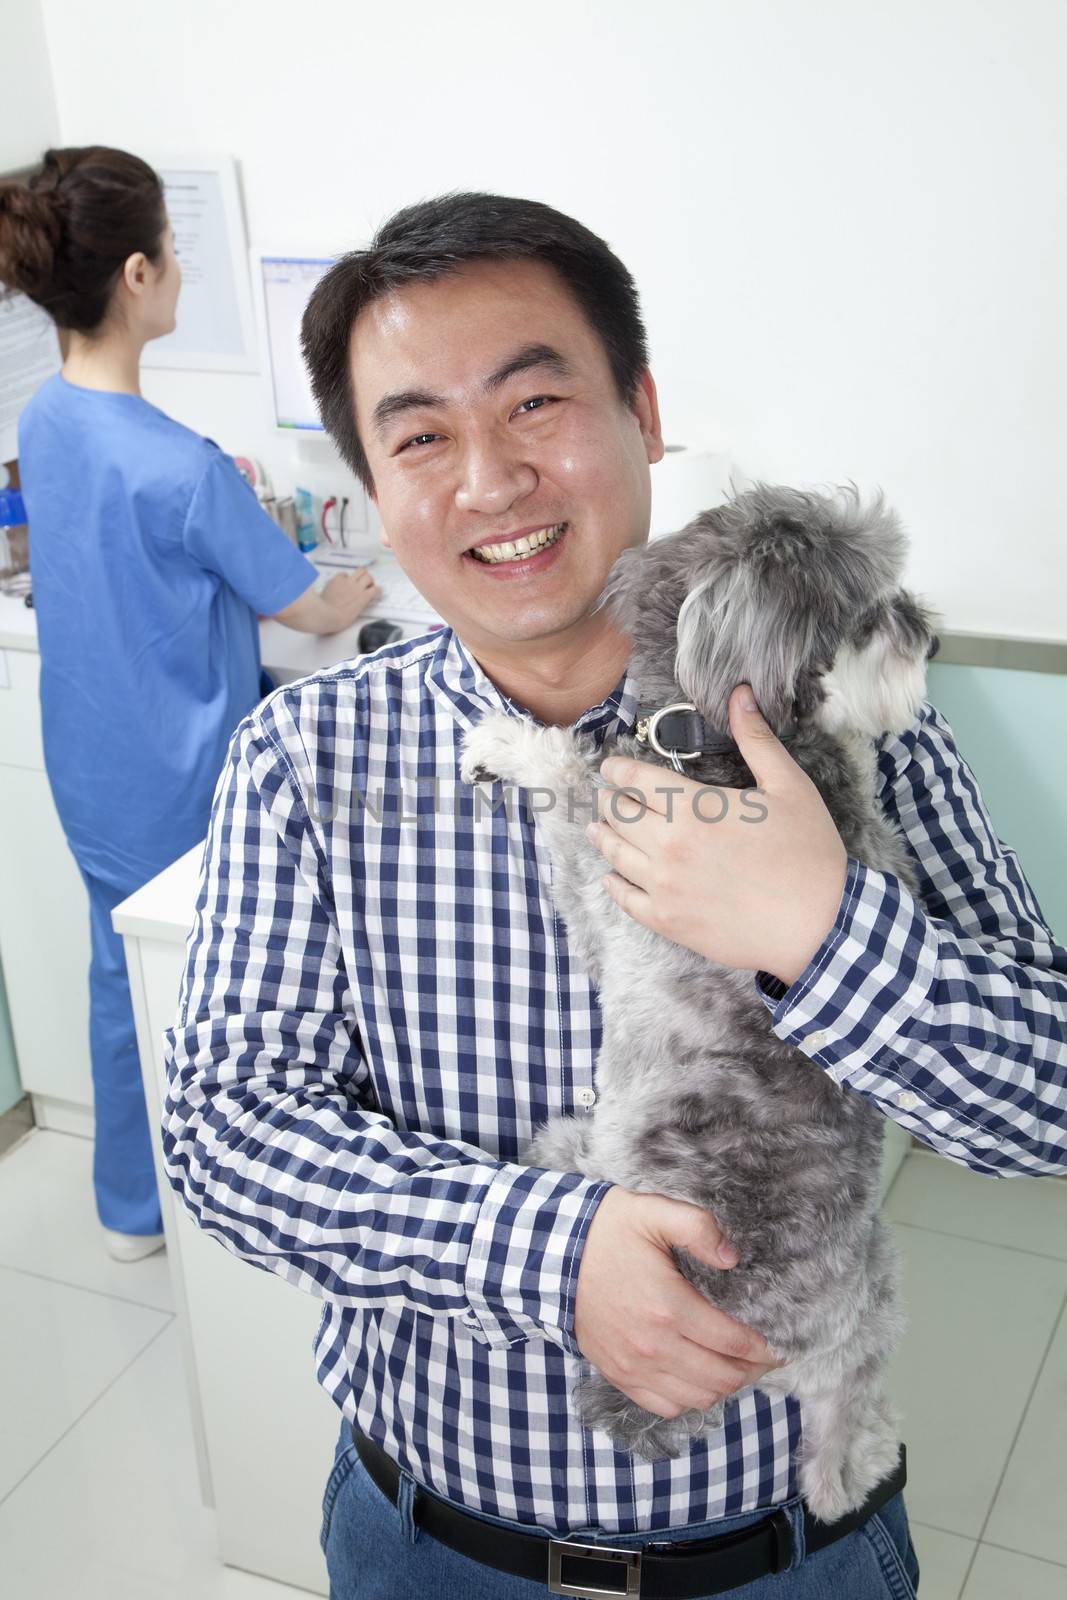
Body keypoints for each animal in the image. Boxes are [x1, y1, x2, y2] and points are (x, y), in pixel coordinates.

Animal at [454, 480, 940, 1516]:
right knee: (856, 1407)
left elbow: (572, 779)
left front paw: (512, 746)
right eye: (870, 608)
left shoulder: (605, 889)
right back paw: (861, 1451)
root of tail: (791, 1357)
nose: (926, 629)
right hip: (877, 1294)